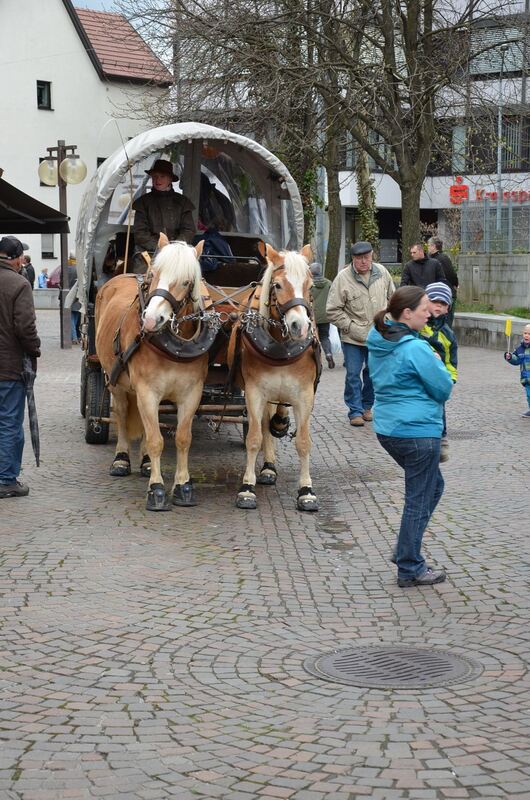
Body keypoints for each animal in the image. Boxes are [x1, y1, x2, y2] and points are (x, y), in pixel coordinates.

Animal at [95, 238, 208, 512]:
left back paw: (146, 462)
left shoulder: (192, 393)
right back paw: (122, 459)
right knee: (122, 414)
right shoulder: (147, 391)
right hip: (116, 381)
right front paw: (156, 490)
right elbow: (157, 440)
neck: (174, 350)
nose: (150, 319)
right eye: (155, 274)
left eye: (187, 281)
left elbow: (182, 438)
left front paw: (182, 486)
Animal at [227, 241, 318, 512]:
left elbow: (303, 442)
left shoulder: (304, 395)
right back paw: (268, 468)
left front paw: (306, 491)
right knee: (265, 425)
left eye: (311, 286)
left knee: (275, 416)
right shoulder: (255, 392)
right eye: (277, 285)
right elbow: (255, 437)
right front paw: (247, 488)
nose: (300, 326)